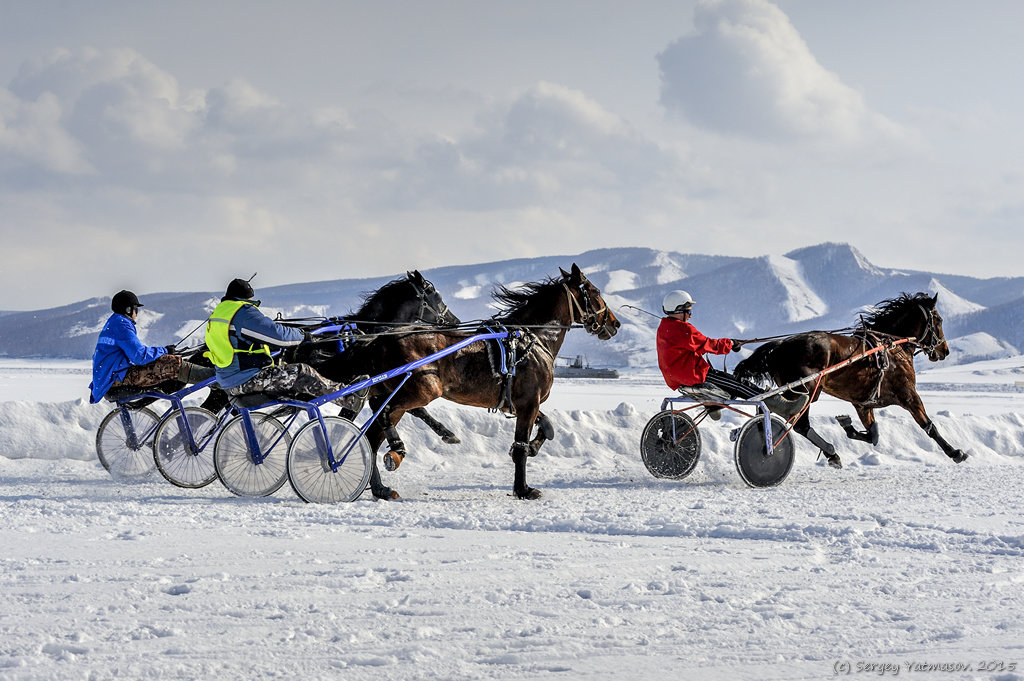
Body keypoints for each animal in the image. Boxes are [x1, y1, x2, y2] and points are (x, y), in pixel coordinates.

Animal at [356, 264, 618, 499]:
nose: (614, 323)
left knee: (373, 436)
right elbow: (521, 447)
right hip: (421, 391)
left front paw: (534, 447)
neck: (532, 337)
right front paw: (523, 489)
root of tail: (380, 339)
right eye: (595, 291)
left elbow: (546, 426)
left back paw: (380, 488)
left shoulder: (521, 403)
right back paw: (395, 452)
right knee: (383, 414)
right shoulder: (529, 402)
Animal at [737, 288, 958, 471]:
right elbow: (928, 426)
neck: (892, 346)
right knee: (798, 422)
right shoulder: (909, 395)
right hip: (805, 390)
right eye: (939, 320)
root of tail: (780, 346)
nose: (944, 350)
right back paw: (829, 452)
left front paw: (847, 424)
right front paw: (955, 452)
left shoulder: (863, 403)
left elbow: (872, 435)